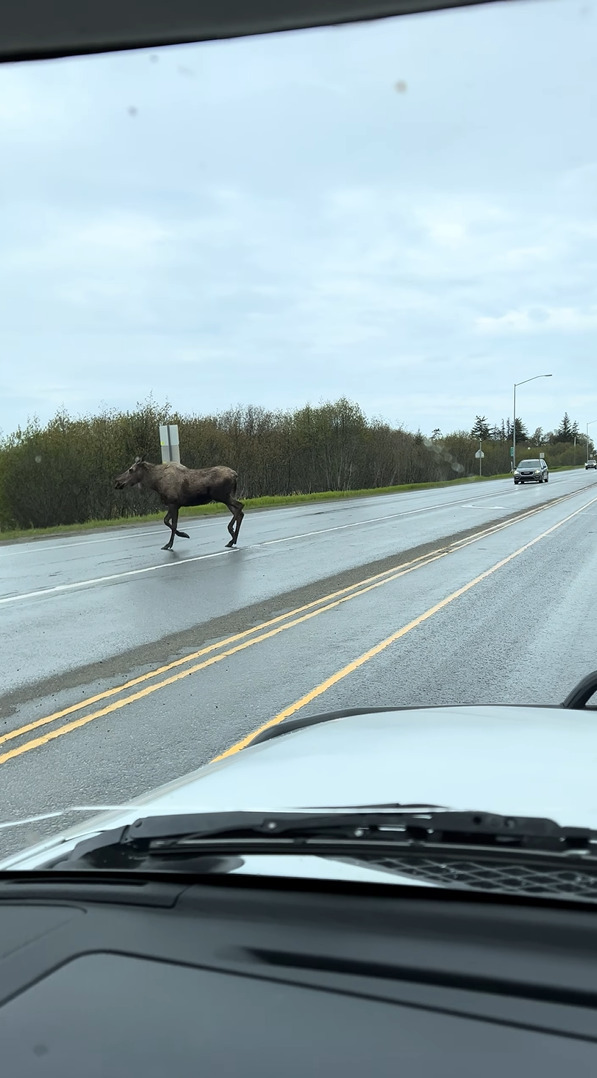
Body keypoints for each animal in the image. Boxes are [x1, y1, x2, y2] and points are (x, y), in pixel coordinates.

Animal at [113, 457, 243, 551]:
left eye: (131, 470)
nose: (117, 481)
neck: (155, 484)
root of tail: (235, 474)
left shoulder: (173, 503)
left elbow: (172, 524)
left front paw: (171, 543)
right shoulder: (175, 505)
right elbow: (167, 521)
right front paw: (182, 535)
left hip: (222, 496)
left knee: (240, 507)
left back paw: (231, 533)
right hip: (226, 497)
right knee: (239, 513)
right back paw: (232, 539)